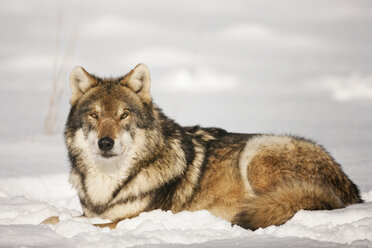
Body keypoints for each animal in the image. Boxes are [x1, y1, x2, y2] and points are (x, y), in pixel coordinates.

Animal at [42, 63, 360, 229]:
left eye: (124, 115)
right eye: (94, 116)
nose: (105, 142)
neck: (109, 186)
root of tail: (350, 189)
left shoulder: (132, 218)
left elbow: (79, 223)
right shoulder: (92, 212)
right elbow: (54, 217)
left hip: (257, 152)